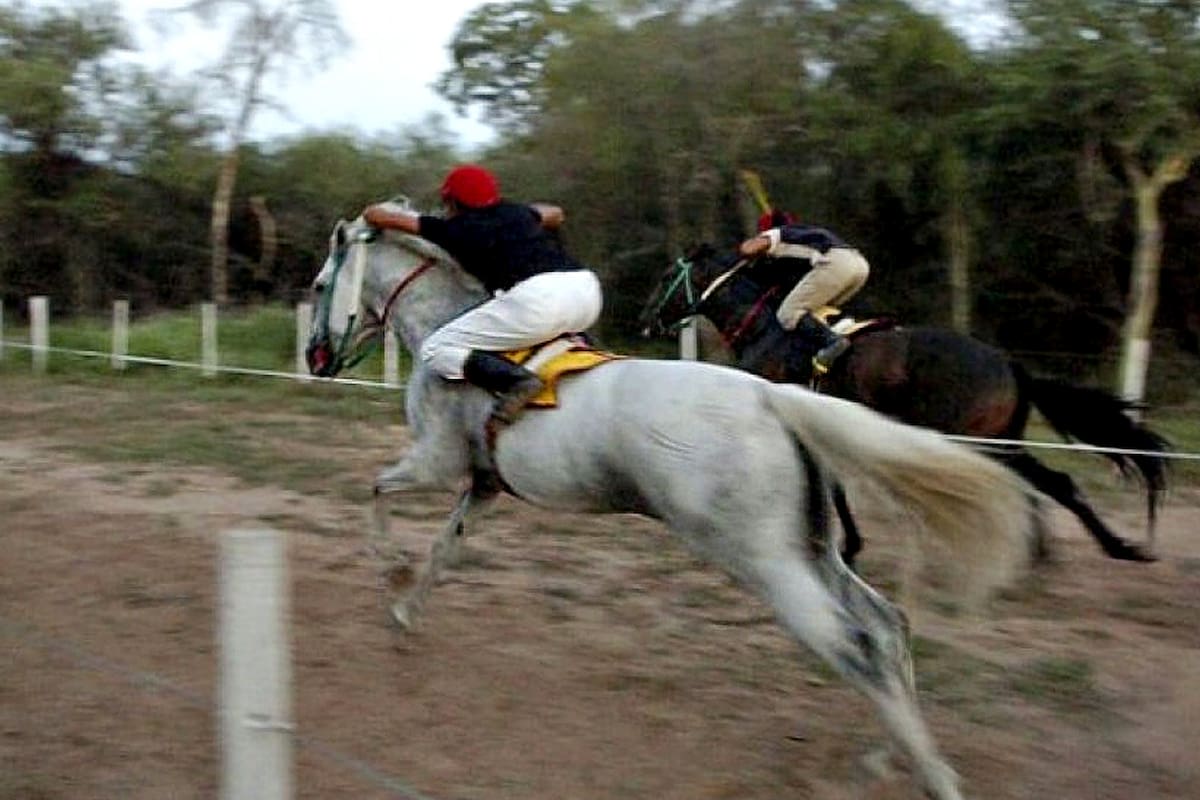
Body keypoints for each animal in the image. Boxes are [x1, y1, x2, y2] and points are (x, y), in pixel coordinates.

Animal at [304, 211, 1036, 800]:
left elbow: (378, 493)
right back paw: (889, 757)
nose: (314, 358)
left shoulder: (436, 462)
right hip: (811, 549)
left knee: (855, 645)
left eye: (316, 287)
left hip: (767, 562)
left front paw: (390, 573)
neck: (452, 333)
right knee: (886, 627)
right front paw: (405, 610)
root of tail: (775, 399)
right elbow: (442, 549)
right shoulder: (481, 487)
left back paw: (926, 775)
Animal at [643, 244, 1166, 563]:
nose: (646, 319)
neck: (766, 330)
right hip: (1000, 439)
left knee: (1048, 485)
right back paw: (1064, 553)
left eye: (667, 275)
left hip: (979, 439)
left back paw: (1106, 548)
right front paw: (848, 544)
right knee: (1050, 485)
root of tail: (1010, 364)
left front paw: (841, 544)